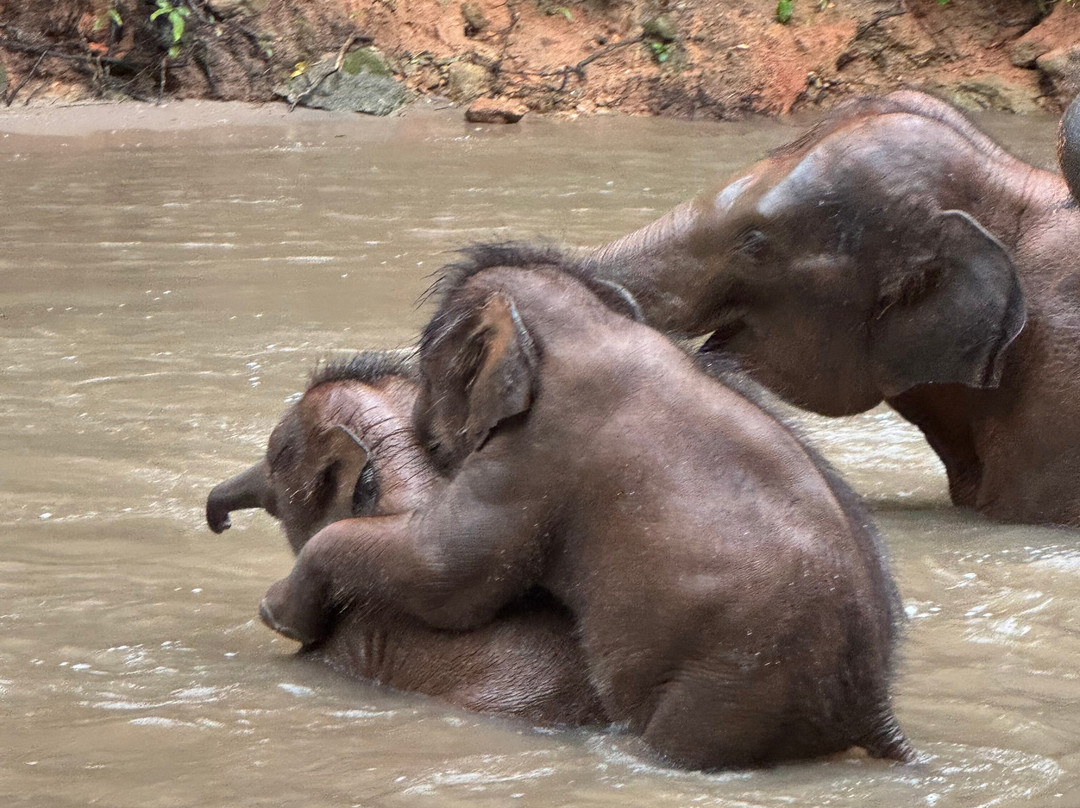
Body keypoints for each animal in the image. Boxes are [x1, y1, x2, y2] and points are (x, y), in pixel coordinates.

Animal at [259, 246, 913, 771]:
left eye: (427, 360)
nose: (419, 431)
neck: (586, 324)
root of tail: (875, 704)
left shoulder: (537, 450)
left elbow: (450, 574)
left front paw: (276, 614)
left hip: (734, 682)